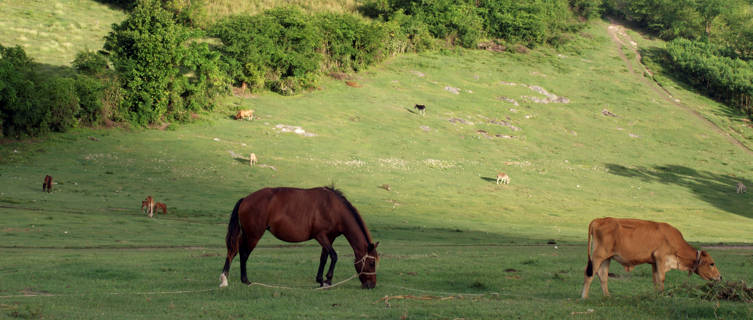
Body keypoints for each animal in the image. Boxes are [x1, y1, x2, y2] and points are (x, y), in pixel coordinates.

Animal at [220, 186, 378, 288]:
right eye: (371, 263)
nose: (371, 285)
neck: (333, 208)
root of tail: (245, 199)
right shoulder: (321, 236)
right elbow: (334, 256)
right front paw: (327, 280)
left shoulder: (329, 237)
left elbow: (324, 257)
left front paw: (321, 280)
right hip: (254, 235)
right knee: (244, 253)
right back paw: (244, 280)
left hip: (247, 234)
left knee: (234, 251)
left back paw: (225, 278)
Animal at [580, 216, 720, 298]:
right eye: (712, 263)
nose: (720, 277)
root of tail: (599, 220)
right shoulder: (661, 258)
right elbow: (661, 279)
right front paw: (662, 295)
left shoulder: (654, 262)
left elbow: (655, 280)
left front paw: (656, 295)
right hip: (597, 256)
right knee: (589, 274)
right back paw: (584, 297)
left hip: (606, 258)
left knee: (602, 275)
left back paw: (607, 296)